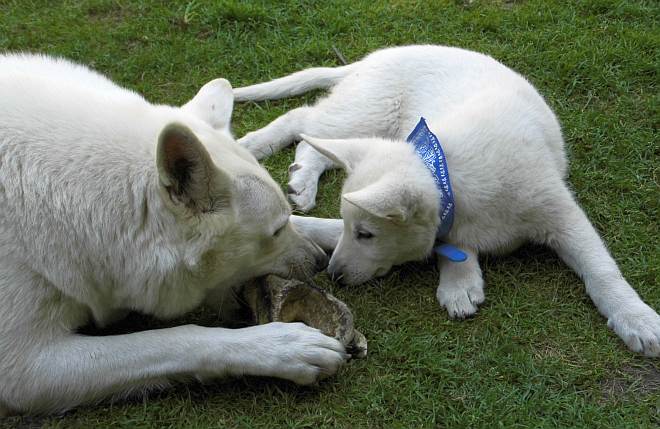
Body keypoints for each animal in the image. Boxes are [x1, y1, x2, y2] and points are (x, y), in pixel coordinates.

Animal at [0, 53, 348, 414]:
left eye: (284, 223)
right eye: (276, 231)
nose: (319, 262)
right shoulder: (27, 367)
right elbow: (176, 340)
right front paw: (281, 346)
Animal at [236, 45, 660, 356]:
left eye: (367, 235)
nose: (334, 275)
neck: (451, 175)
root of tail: (371, 60)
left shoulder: (561, 214)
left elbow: (602, 269)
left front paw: (635, 317)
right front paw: (461, 280)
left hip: (369, 119)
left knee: (309, 135)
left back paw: (298, 177)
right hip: (367, 113)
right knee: (302, 120)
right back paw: (256, 147)